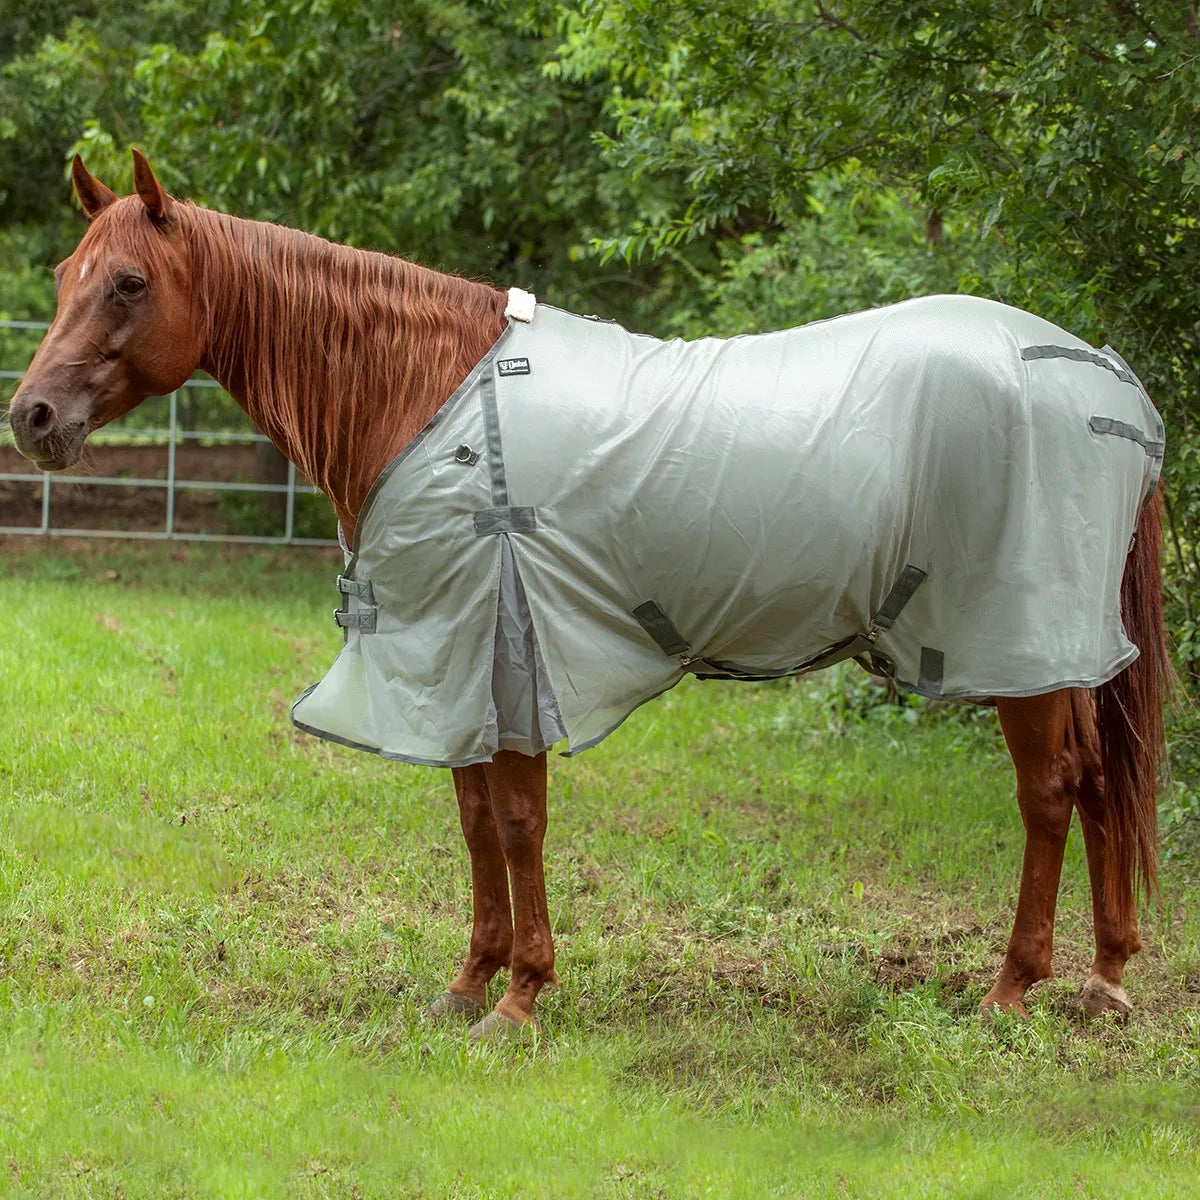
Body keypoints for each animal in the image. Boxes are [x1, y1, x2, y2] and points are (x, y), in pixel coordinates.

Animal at [8, 150, 1169, 1038]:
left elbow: (518, 821)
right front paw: (468, 982)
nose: (32, 417)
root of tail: (1109, 379)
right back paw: (1106, 979)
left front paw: (521, 999)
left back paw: (1014, 989)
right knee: (1099, 779)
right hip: (1057, 647)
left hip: (1013, 637)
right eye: (66, 272)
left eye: (129, 283)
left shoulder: (505, 648)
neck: (425, 397)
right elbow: (474, 819)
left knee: (1050, 790)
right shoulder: (451, 668)